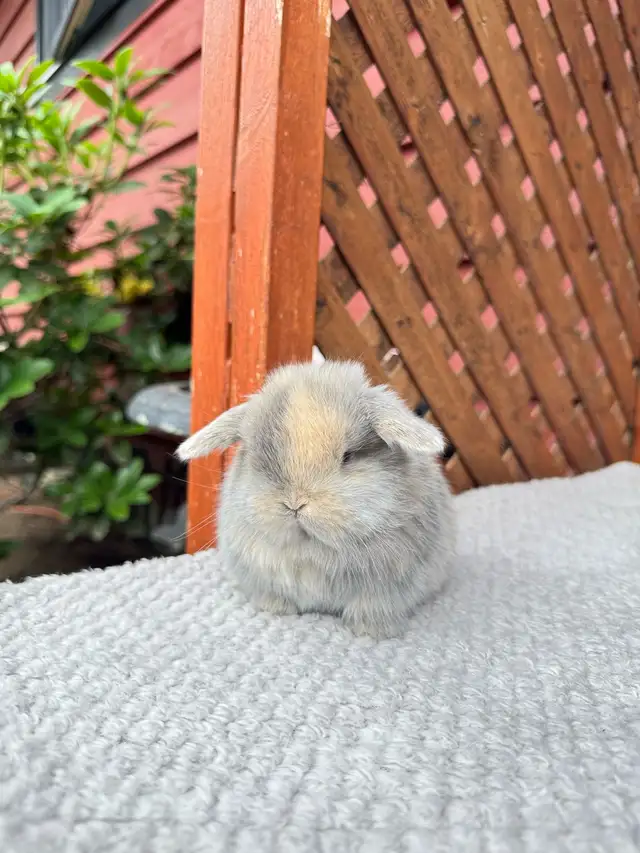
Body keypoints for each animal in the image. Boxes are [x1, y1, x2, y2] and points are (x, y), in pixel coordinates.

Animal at [177, 360, 455, 638]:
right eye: (259, 457)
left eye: (348, 456)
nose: (295, 504)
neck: (312, 548)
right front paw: (275, 609)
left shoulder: (386, 590)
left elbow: (371, 608)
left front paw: (372, 631)